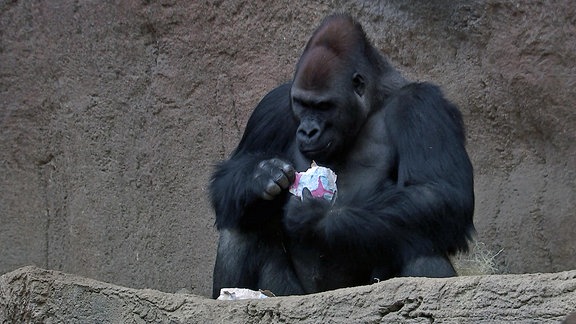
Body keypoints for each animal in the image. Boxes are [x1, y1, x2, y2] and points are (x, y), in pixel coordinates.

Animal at [209, 13, 474, 298]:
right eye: (301, 103)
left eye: (324, 106)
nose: (308, 131)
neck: (372, 101)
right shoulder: (273, 104)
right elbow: (226, 182)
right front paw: (260, 176)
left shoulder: (422, 104)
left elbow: (439, 193)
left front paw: (316, 217)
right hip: (288, 294)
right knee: (240, 226)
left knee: (423, 249)